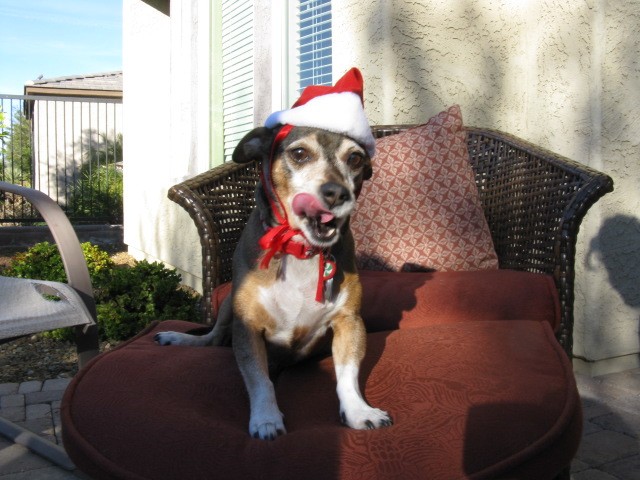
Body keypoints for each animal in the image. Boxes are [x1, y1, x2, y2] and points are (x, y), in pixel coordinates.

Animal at [158, 67, 392, 438]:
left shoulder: (349, 321)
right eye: (299, 154)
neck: (300, 250)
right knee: (212, 339)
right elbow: (259, 379)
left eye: (355, 158)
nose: (336, 193)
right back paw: (176, 338)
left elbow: (347, 375)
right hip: (228, 305)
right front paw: (266, 418)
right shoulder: (248, 327)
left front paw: (358, 411)